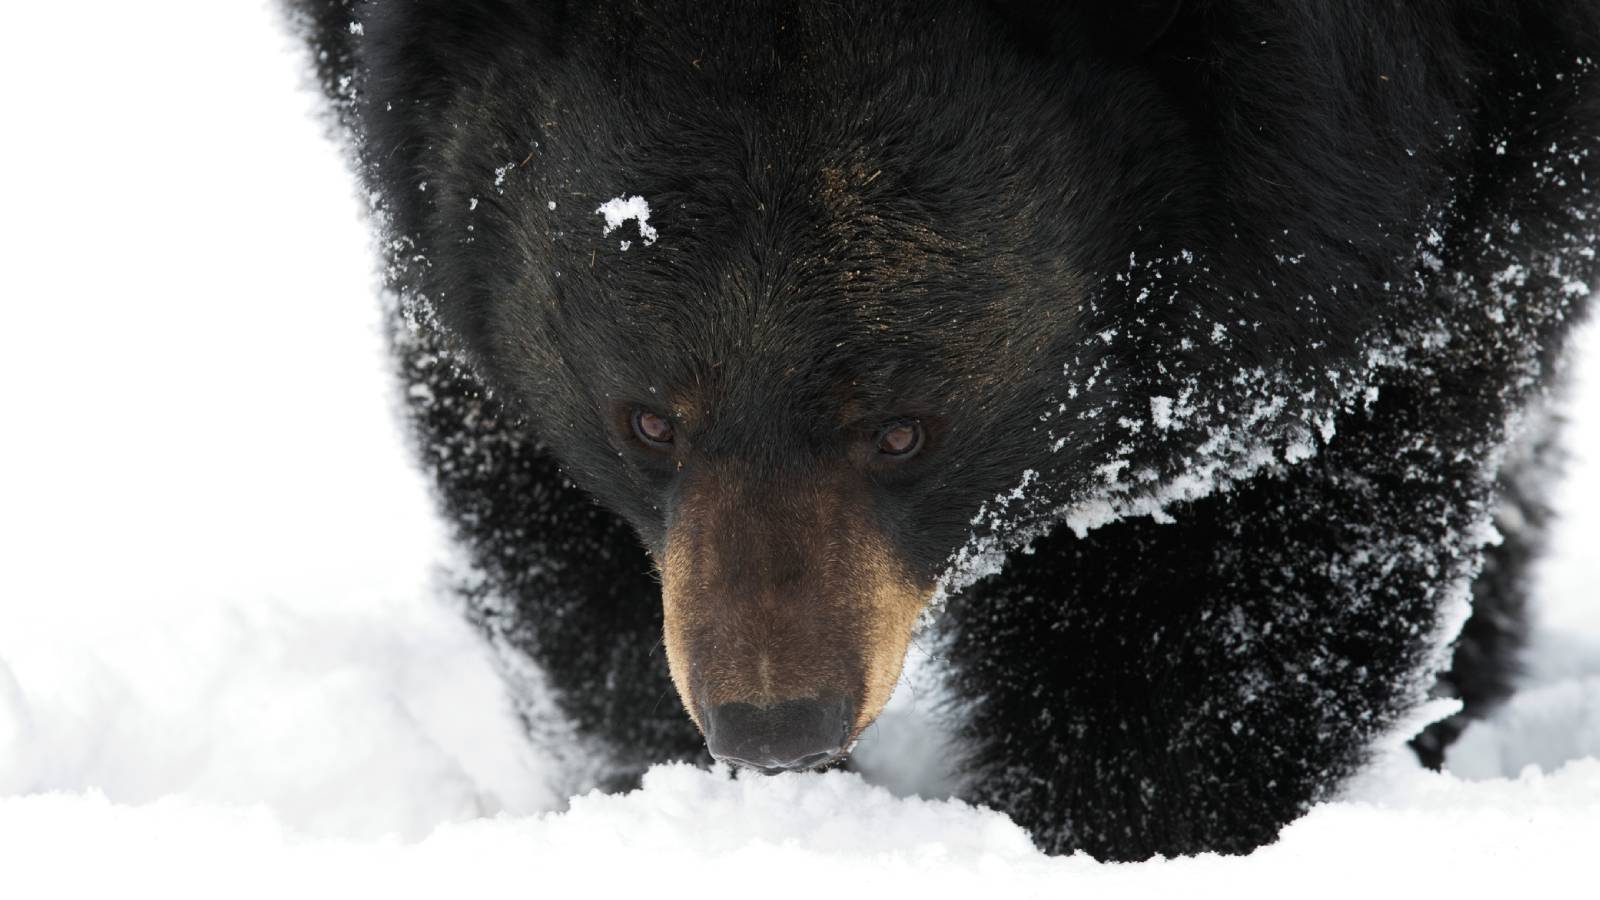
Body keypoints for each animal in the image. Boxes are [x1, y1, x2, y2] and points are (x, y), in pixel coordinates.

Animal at [284, 0, 1600, 860]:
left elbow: (1239, 575)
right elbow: (541, 508)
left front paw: (1129, 831)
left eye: (902, 434)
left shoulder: (1364, 220)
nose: (772, 725)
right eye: (649, 421)